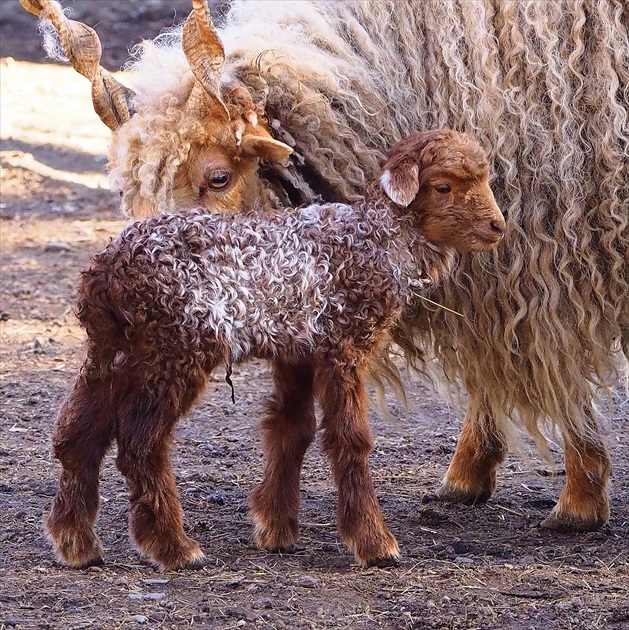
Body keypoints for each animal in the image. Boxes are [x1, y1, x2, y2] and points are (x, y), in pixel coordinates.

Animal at [46, 130, 502, 572]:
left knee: (77, 433)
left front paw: (276, 531)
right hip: (175, 347)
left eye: (485, 180)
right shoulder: (344, 344)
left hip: (116, 349)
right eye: (444, 186)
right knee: (140, 444)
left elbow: (289, 428)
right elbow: (350, 438)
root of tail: (105, 273)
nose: (497, 226)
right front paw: (374, 543)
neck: (374, 238)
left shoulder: (296, 352)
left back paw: (76, 544)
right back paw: (173, 548)